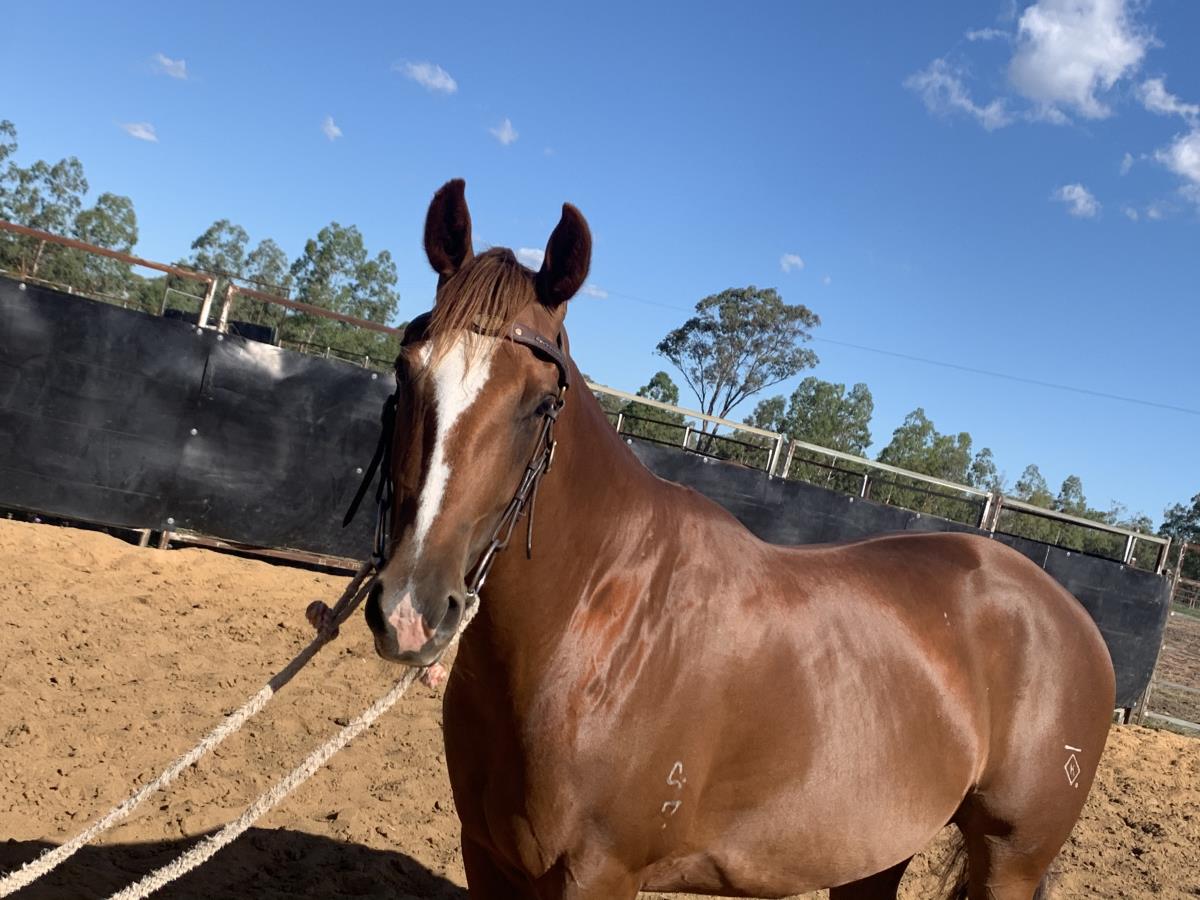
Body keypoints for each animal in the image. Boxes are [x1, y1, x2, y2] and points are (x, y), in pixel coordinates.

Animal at [362, 178, 1115, 899]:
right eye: (405, 370)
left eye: (543, 402)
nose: (411, 610)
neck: (595, 624)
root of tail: (1071, 617)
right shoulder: (486, 858)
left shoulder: (599, 874)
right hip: (874, 852)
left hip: (1008, 863)